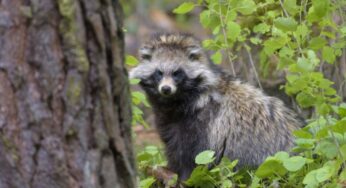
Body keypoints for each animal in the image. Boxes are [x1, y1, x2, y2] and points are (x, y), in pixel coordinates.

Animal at [129, 33, 302, 180]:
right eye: (159, 73)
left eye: (177, 73)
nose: (166, 89)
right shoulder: (170, 120)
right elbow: (172, 145)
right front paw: (171, 171)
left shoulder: (205, 122)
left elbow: (192, 156)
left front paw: (182, 177)